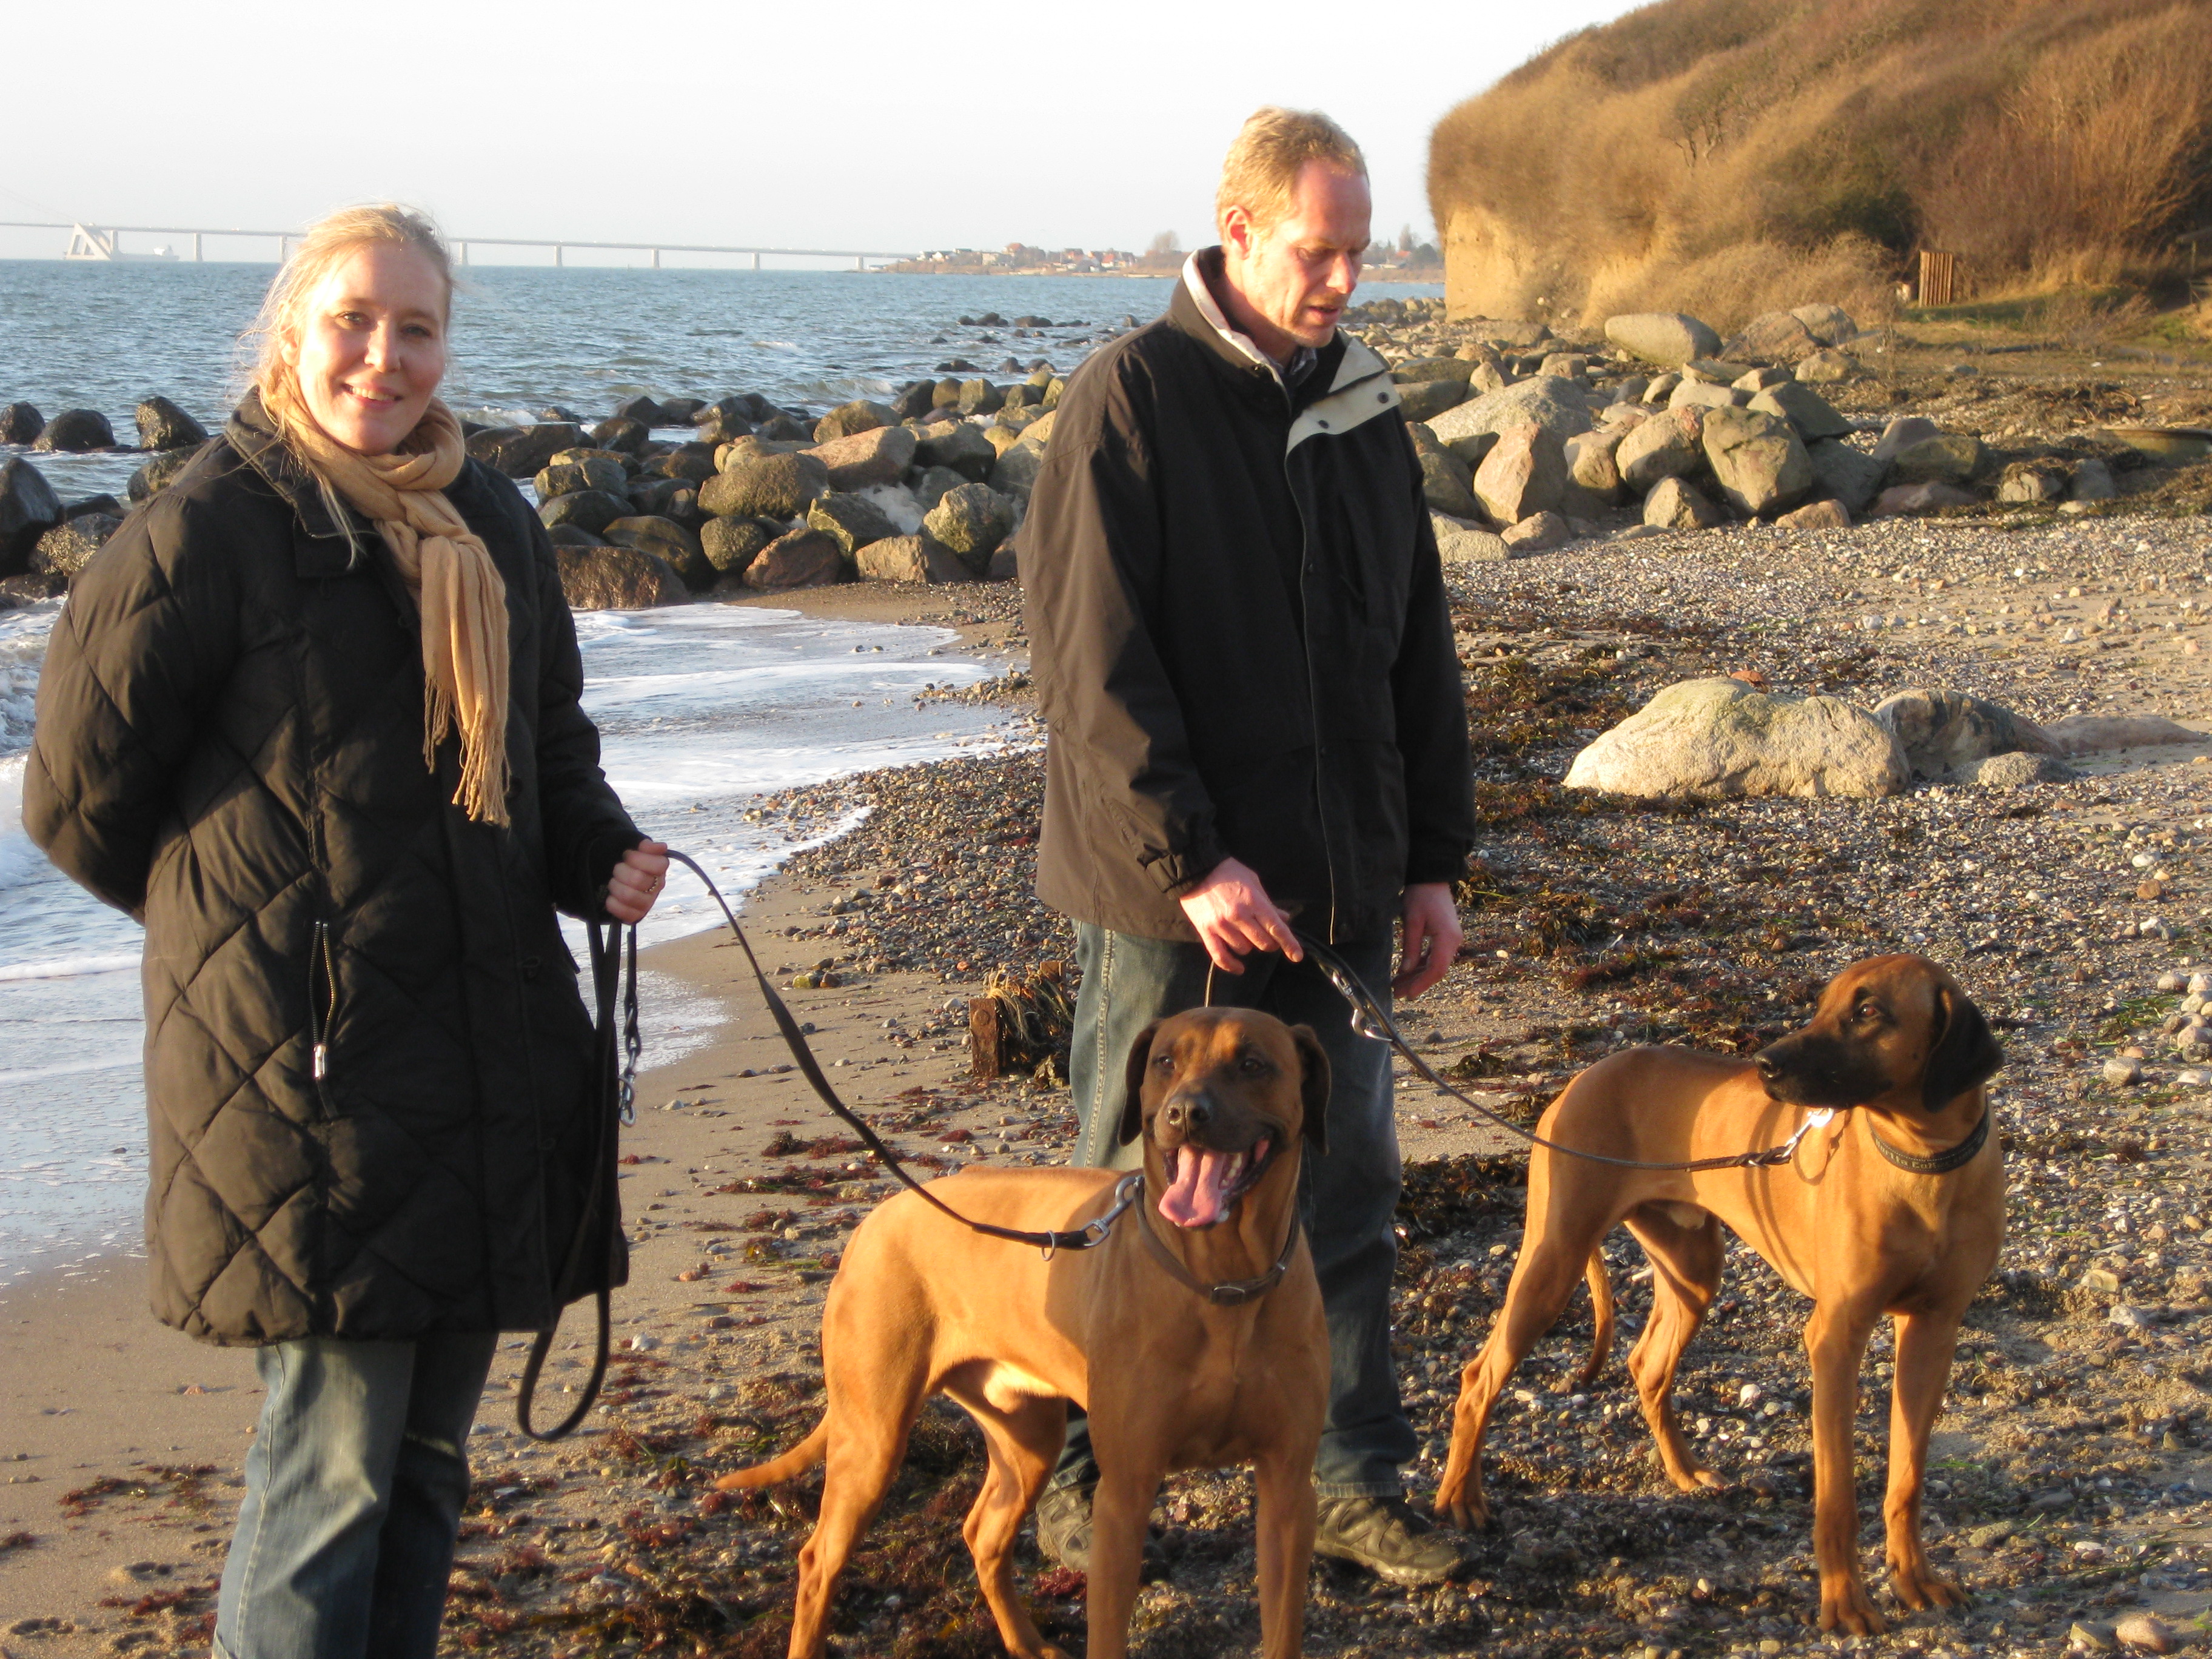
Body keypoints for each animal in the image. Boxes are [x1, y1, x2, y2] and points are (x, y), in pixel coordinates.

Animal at [721, 1008, 1327, 1659]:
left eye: (1253, 1063)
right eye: (1166, 1061)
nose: (1186, 1113)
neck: (1222, 1282)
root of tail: (876, 1218)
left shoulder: (1289, 1488)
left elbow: (1284, 1627)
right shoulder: (1125, 1494)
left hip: (1027, 1435)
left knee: (982, 1534)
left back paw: (1026, 1642)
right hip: (873, 1436)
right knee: (819, 1561)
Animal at [1433, 960, 2008, 1637]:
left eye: (1869, 1012)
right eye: (1824, 1004)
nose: (1765, 1064)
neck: (1924, 1161)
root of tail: (1583, 1077)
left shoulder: (1934, 1331)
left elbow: (1908, 1481)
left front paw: (1913, 1579)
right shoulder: (1836, 1338)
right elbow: (1836, 1495)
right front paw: (1843, 1602)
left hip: (1692, 1268)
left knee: (1646, 1365)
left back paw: (1683, 1472)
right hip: (1555, 1257)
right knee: (1480, 1375)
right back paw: (1461, 1498)